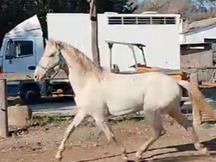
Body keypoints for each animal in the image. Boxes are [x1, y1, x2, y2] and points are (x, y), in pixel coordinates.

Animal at [34, 41, 215, 161]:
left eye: (51, 55)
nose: (36, 76)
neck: (88, 81)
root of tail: (175, 81)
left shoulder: (99, 116)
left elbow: (110, 136)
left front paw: (124, 154)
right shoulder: (84, 112)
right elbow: (69, 130)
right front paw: (58, 155)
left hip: (152, 112)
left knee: (159, 131)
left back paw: (138, 154)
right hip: (173, 110)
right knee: (187, 125)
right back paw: (202, 149)